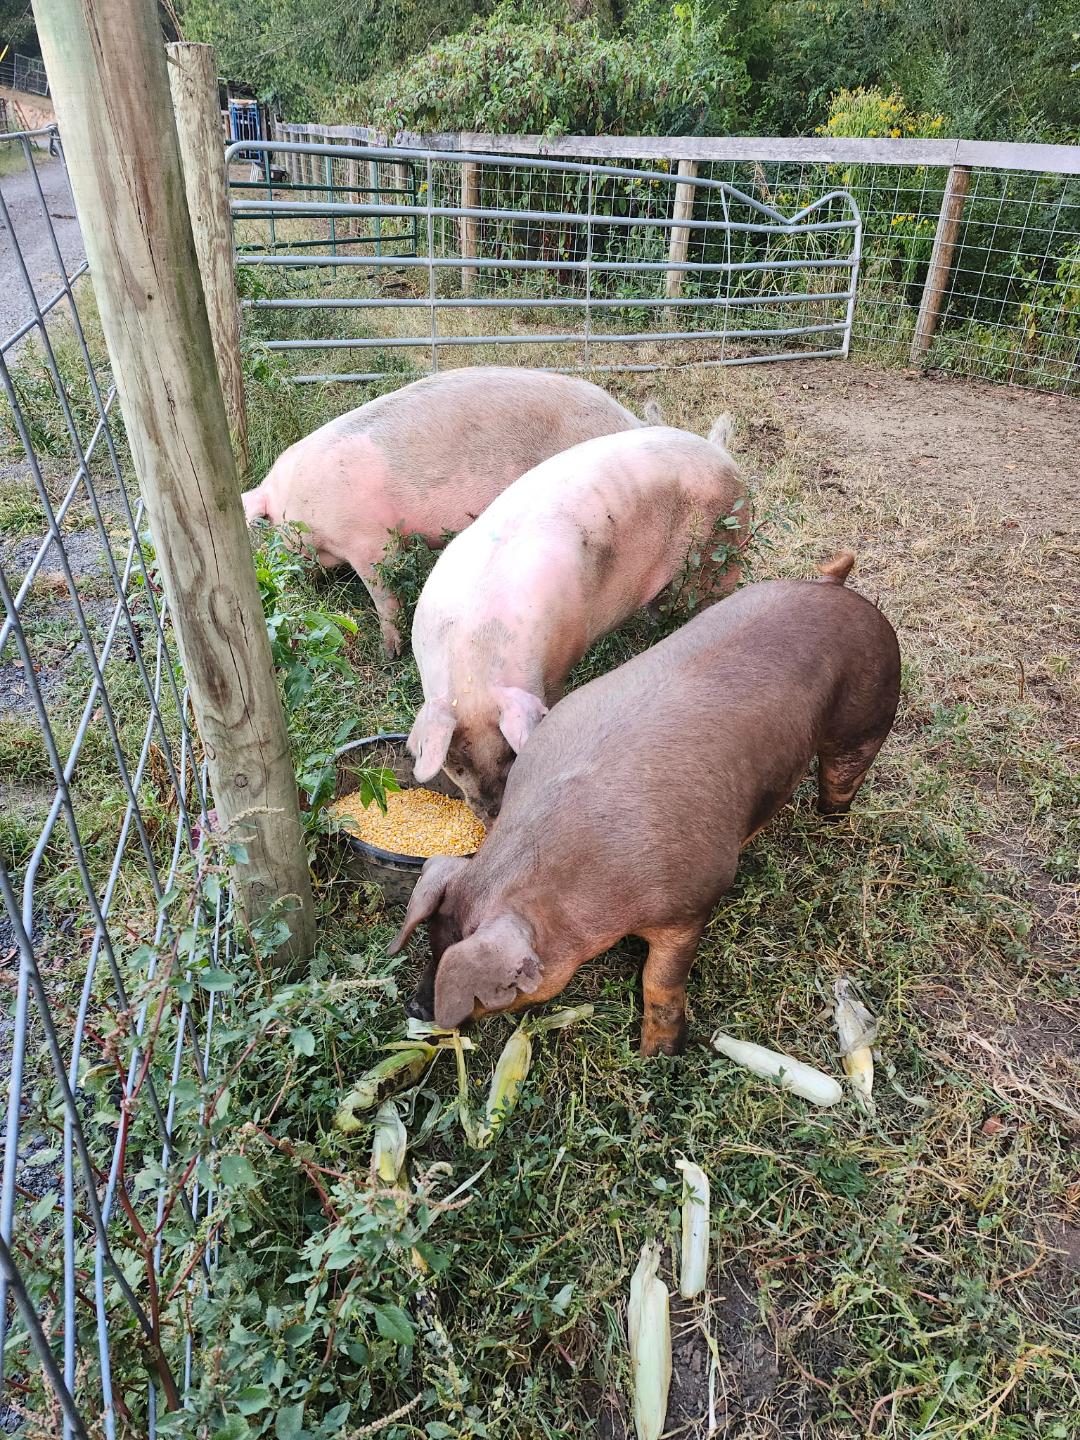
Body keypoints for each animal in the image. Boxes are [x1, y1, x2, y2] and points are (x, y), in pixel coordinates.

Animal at [389, 554, 900, 1056]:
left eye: (495, 988)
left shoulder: (692, 900)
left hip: (871, 709)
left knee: (844, 774)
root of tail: (833, 586)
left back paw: (831, 817)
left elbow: (660, 978)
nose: (415, 1008)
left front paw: (659, 1055)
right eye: (432, 941)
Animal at [407, 419, 746, 824]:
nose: (492, 815)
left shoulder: (560, 660)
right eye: (456, 764)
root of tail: (719, 451)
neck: (473, 656)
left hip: (723, 546)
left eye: (508, 755)